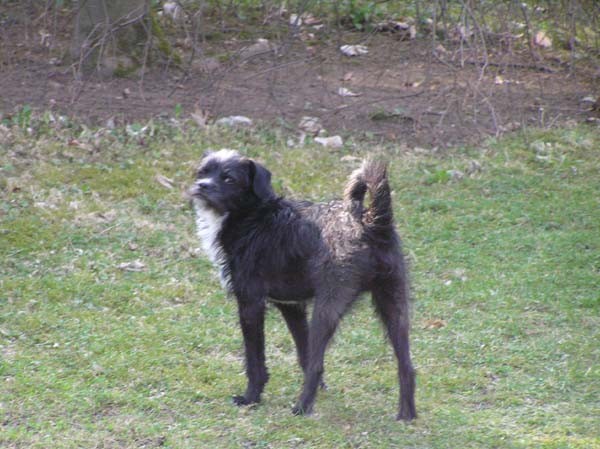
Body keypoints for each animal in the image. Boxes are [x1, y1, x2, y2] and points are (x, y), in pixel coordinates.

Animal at [188, 150, 418, 420]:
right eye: (203, 172)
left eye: (228, 178)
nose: (202, 186)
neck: (254, 215)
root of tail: (371, 222)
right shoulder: (292, 307)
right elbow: (304, 354)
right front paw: (322, 390)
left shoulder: (250, 304)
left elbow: (256, 360)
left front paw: (251, 398)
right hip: (394, 308)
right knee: (407, 366)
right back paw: (406, 415)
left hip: (326, 310)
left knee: (318, 363)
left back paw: (302, 407)